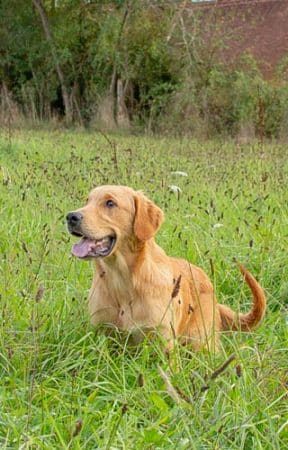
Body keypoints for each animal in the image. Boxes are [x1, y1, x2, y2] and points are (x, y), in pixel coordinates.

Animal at [67, 185, 266, 350]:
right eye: (87, 201)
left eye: (110, 203)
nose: (71, 217)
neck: (123, 281)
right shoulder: (102, 334)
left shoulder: (164, 341)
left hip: (200, 342)